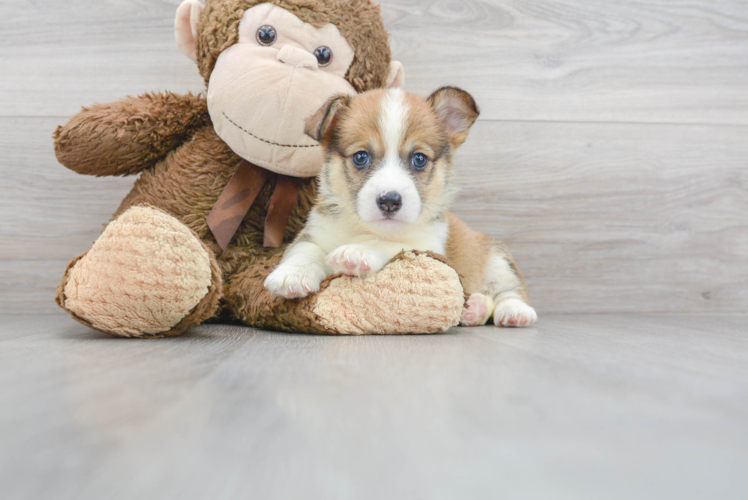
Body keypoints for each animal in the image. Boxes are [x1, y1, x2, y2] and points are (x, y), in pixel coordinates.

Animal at [262, 87, 536, 328]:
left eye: (419, 159)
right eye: (360, 157)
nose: (390, 201)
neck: (363, 227)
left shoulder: (425, 246)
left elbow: (389, 244)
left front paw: (357, 252)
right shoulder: (315, 232)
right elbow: (305, 251)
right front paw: (292, 275)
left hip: (498, 259)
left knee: (510, 291)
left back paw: (514, 312)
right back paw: (473, 310)